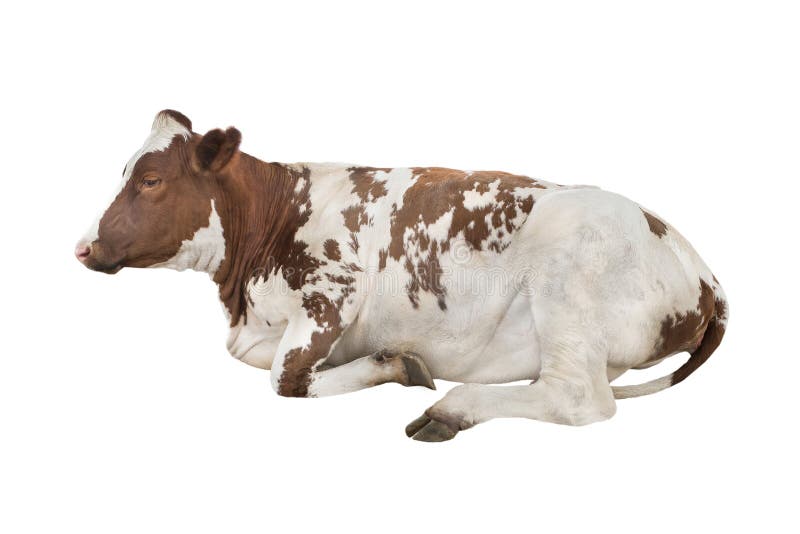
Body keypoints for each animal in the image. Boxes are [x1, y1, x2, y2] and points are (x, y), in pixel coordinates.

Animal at [75, 110, 728, 441]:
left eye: (151, 180)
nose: (83, 247)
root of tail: (702, 270)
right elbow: (255, 357)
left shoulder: (331, 294)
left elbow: (286, 379)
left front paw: (393, 365)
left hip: (567, 286)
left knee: (581, 398)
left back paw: (451, 410)